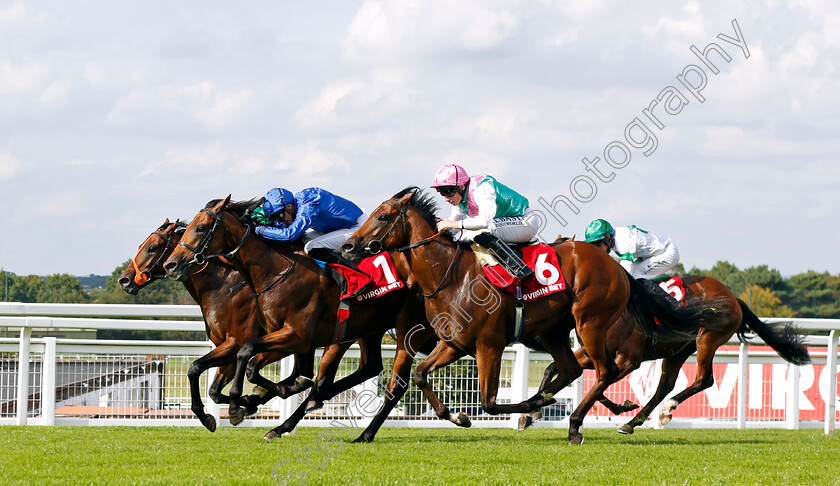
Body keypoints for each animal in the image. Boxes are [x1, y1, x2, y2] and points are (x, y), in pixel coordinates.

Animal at [165, 196, 440, 442]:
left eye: (200, 228)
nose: (171, 264)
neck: (275, 271)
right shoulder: (290, 339)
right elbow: (246, 369)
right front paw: (246, 401)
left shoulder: (293, 336)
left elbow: (248, 357)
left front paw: (238, 405)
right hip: (367, 329)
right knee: (365, 368)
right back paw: (293, 418)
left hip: (408, 328)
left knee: (396, 385)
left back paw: (364, 433)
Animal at [340, 188, 720, 446]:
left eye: (383, 217)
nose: (348, 246)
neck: (451, 277)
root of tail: (618, 268)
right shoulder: (454, 344)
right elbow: (420, 375)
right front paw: (458, 415)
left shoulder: (489, 345)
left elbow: (489, 402)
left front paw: (530, 405)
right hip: (556, 330)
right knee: (570, 369)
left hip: (590, 322)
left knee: (605, 371)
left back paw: (575, 424)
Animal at [520, 276, 812, 434]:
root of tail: (734, 297)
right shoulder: (594, 353)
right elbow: (556, 369)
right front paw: (530, 412)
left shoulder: (629, 359)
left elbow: (602, 380)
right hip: (679, 350)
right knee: (666, 385)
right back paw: (635, 421)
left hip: (706, 339)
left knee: (703, 380)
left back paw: (664, 409)